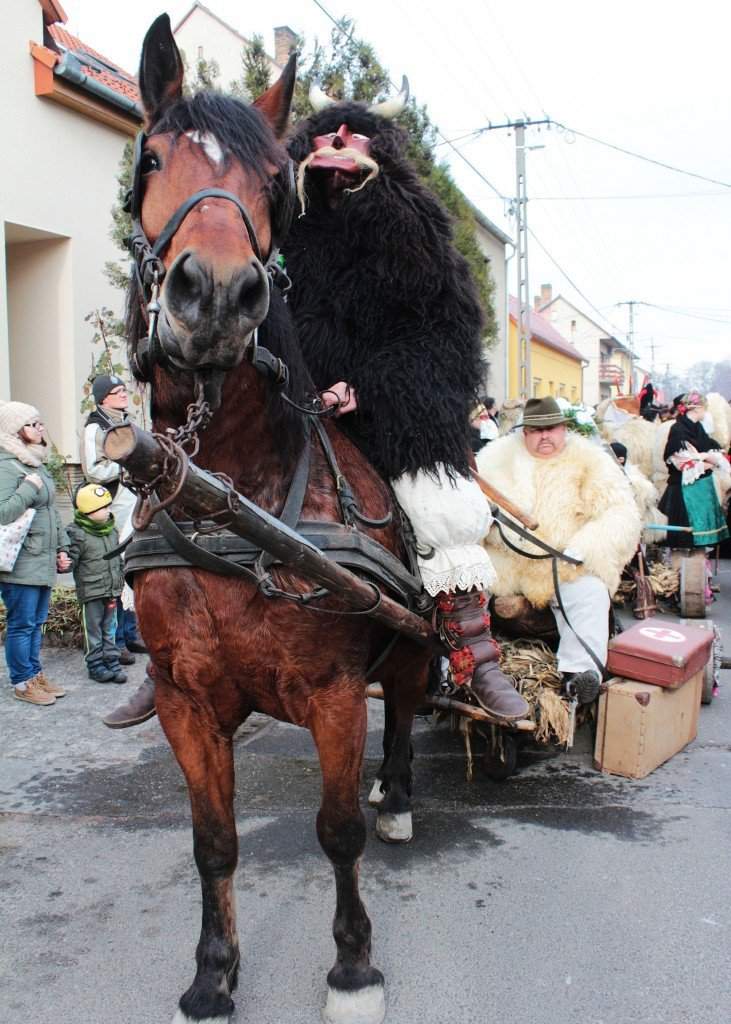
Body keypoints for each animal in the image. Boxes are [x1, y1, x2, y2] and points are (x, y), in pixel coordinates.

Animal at [122, 16, 427, 1024]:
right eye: (150, 157)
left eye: (272, 186)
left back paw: (397, 794)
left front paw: (353, 967)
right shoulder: (186, 700)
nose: (215, 295)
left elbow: (336, 831)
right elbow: (212, 841)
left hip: (409, 647)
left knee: (405, 710)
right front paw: (213, 972)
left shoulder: (333, 694)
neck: (234, 501)